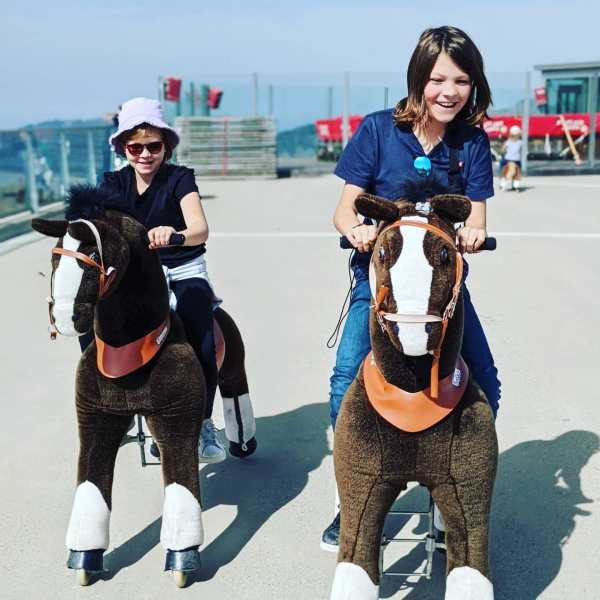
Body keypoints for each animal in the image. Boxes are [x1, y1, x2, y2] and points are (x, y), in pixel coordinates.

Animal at [31, 186, 257, 587]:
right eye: (55, 253)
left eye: (93, 254)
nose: (63, 316)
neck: (132, 354)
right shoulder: (97, 418)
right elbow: (90, 485)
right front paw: (84, 558)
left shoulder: (176, 418)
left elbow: (181, 487)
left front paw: (182, 560)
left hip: (233, 364)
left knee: (235, 394)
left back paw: (240, 442)